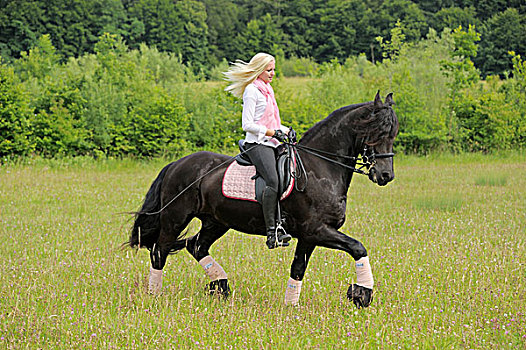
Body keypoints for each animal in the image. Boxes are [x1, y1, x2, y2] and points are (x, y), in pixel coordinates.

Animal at [128, 91, 400, 308]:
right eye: (376, 132)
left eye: (393, 134)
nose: (385, 175)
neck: (320, 167)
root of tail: (176, 164)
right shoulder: (317, 230)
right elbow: (358, 247)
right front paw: (362, 294)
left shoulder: (310, 236)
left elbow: (298, 268)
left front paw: (291, 306)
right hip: (176, 217)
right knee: (160, 250)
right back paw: (155, 295)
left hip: (216, 222)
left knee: (196, 246)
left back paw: (221, 286)